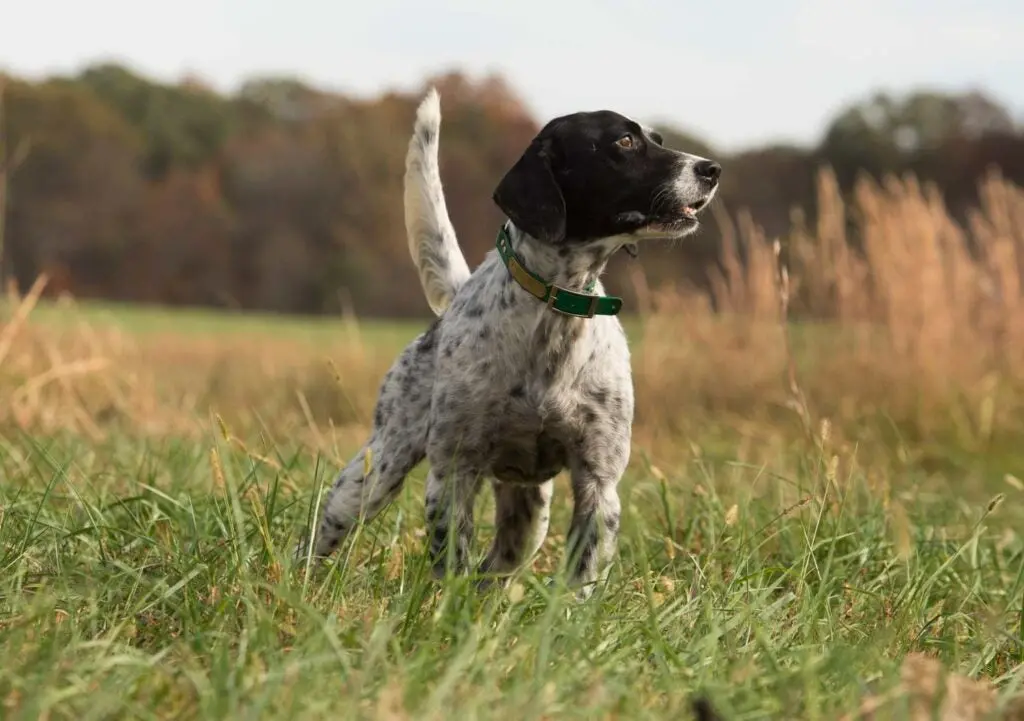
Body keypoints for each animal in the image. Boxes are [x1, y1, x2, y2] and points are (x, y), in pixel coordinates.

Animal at [299, 88, 720, 598]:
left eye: (657, 139)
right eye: (623, 141)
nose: (712, 168)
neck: (556, 308)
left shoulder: (598, 482)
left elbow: (579, 579)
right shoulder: (454, 473)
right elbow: (451, 563)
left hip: (530, 515)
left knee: (492, 569)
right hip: (374, 472)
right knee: (323, 534)